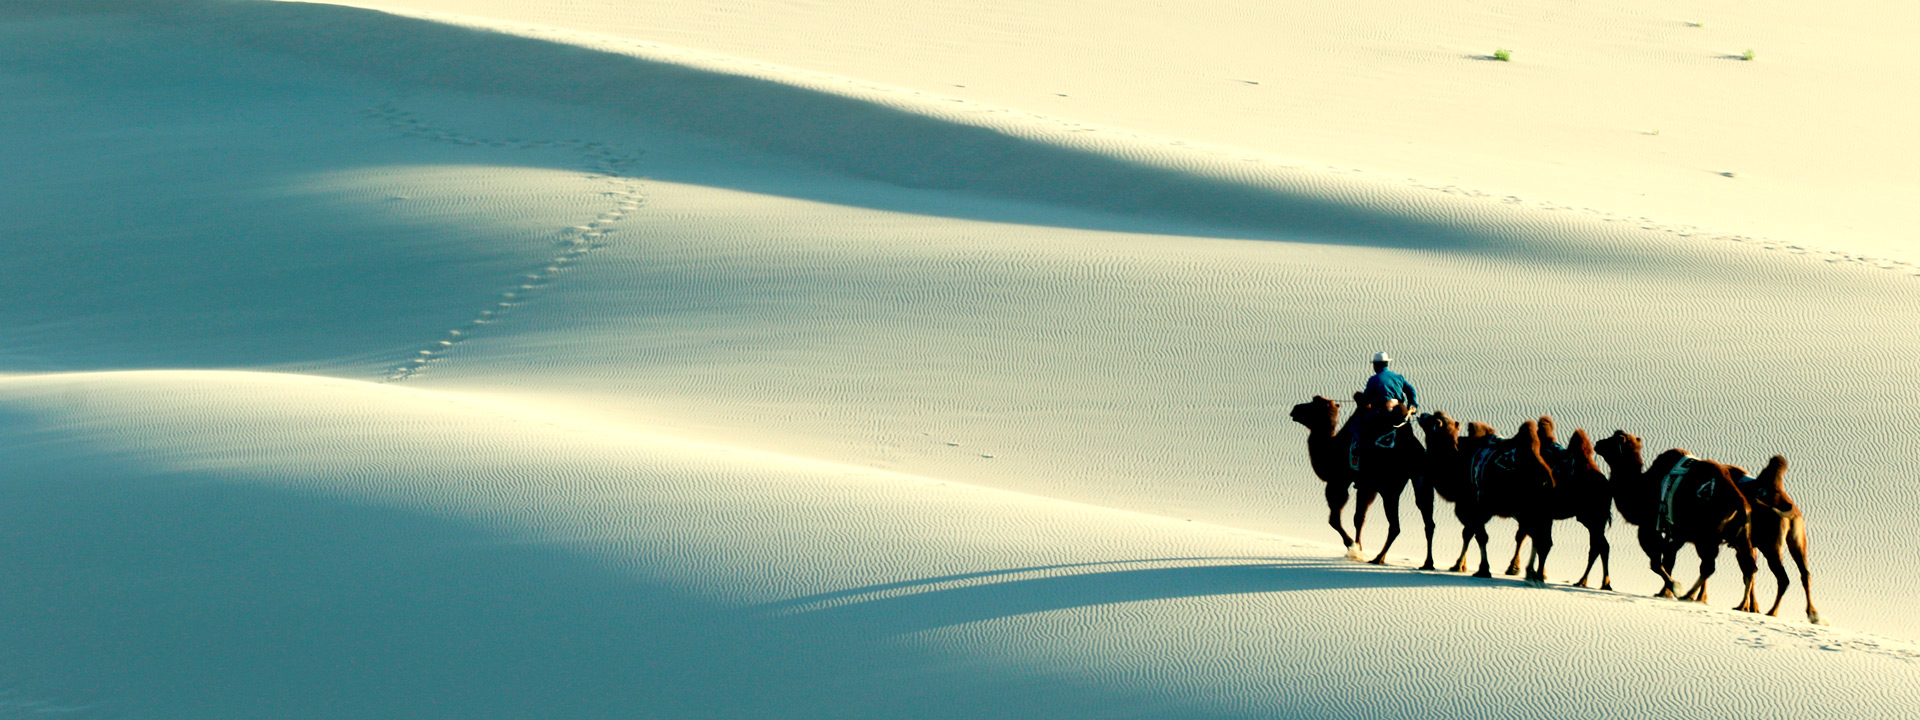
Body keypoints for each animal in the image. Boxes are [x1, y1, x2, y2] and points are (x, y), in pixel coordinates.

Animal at [1289, 395, 1436, 567]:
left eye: (1314, 405)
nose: (1295, 409)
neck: (1331, 449)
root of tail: (1416, 451)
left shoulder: (1338, 482)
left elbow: (1335, 520)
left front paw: (1353, 546)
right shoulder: (1367, 487)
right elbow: (1359, 518)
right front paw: (1358, 548)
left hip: (1389, 489)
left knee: (1395, 526)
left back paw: (1378, 558)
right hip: (1422, 482)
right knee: (1427, 520)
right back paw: (1427, 563)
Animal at [1592, 430, 1757, 607]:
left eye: (1613, 440)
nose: (1597, 443)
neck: (1641, 488)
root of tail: (1739, 502)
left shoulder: (1648, 526)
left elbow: (1657, 562)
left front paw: (1674, 587)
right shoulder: (1677, 533)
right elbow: (1669, 558)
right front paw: (1664, 592)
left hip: (1706, 537)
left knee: (1709, 566)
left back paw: (1687, 595)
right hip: (1740, 536)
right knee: (1748, 567)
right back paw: (1741, 604)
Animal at [1725, 456, 1824, 624]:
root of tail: (1791, 514)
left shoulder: (1741, 544)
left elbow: (1748, 572)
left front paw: (1746, 607)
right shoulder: (1749, 545)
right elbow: (1751, 573)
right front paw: (1752, 608)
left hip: (1771, 546)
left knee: (1783, 578)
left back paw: (1772, 612)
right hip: (1797, 541)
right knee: (1805, 573)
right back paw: (1813, 614)